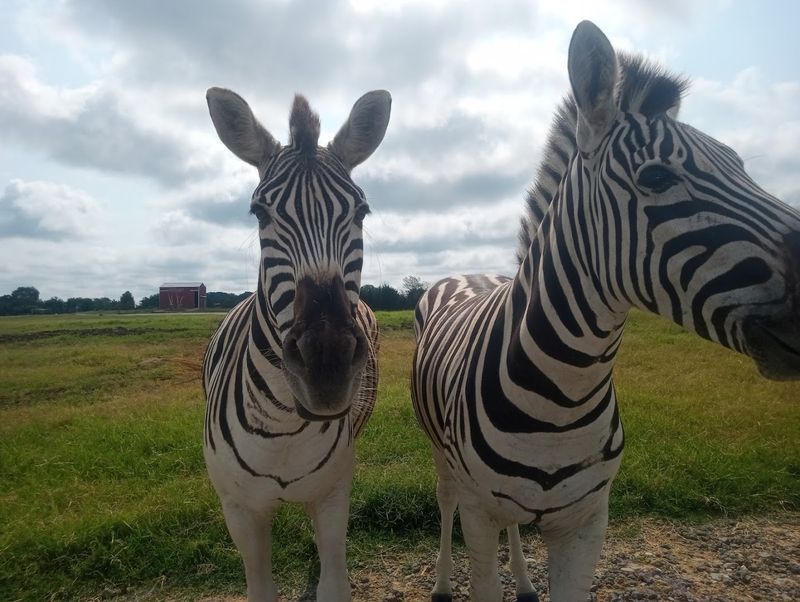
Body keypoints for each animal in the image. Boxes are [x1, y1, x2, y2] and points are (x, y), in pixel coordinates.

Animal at [202, 87, 390, 602]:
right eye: (259, 213)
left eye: (361, 212)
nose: (326, 366)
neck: (284, 427)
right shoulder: (240, 511)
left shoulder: (332, 497)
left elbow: (334, 582)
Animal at [411, 20, 800, 602]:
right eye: (656, 177)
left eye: (741, 166)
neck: (563, 396)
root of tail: (471, 274)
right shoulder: (479, 514)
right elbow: (473, 535)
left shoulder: (586, 521)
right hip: (442, 454)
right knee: (445, 500)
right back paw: (439, 582)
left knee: (513, 526)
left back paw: (524, 582)